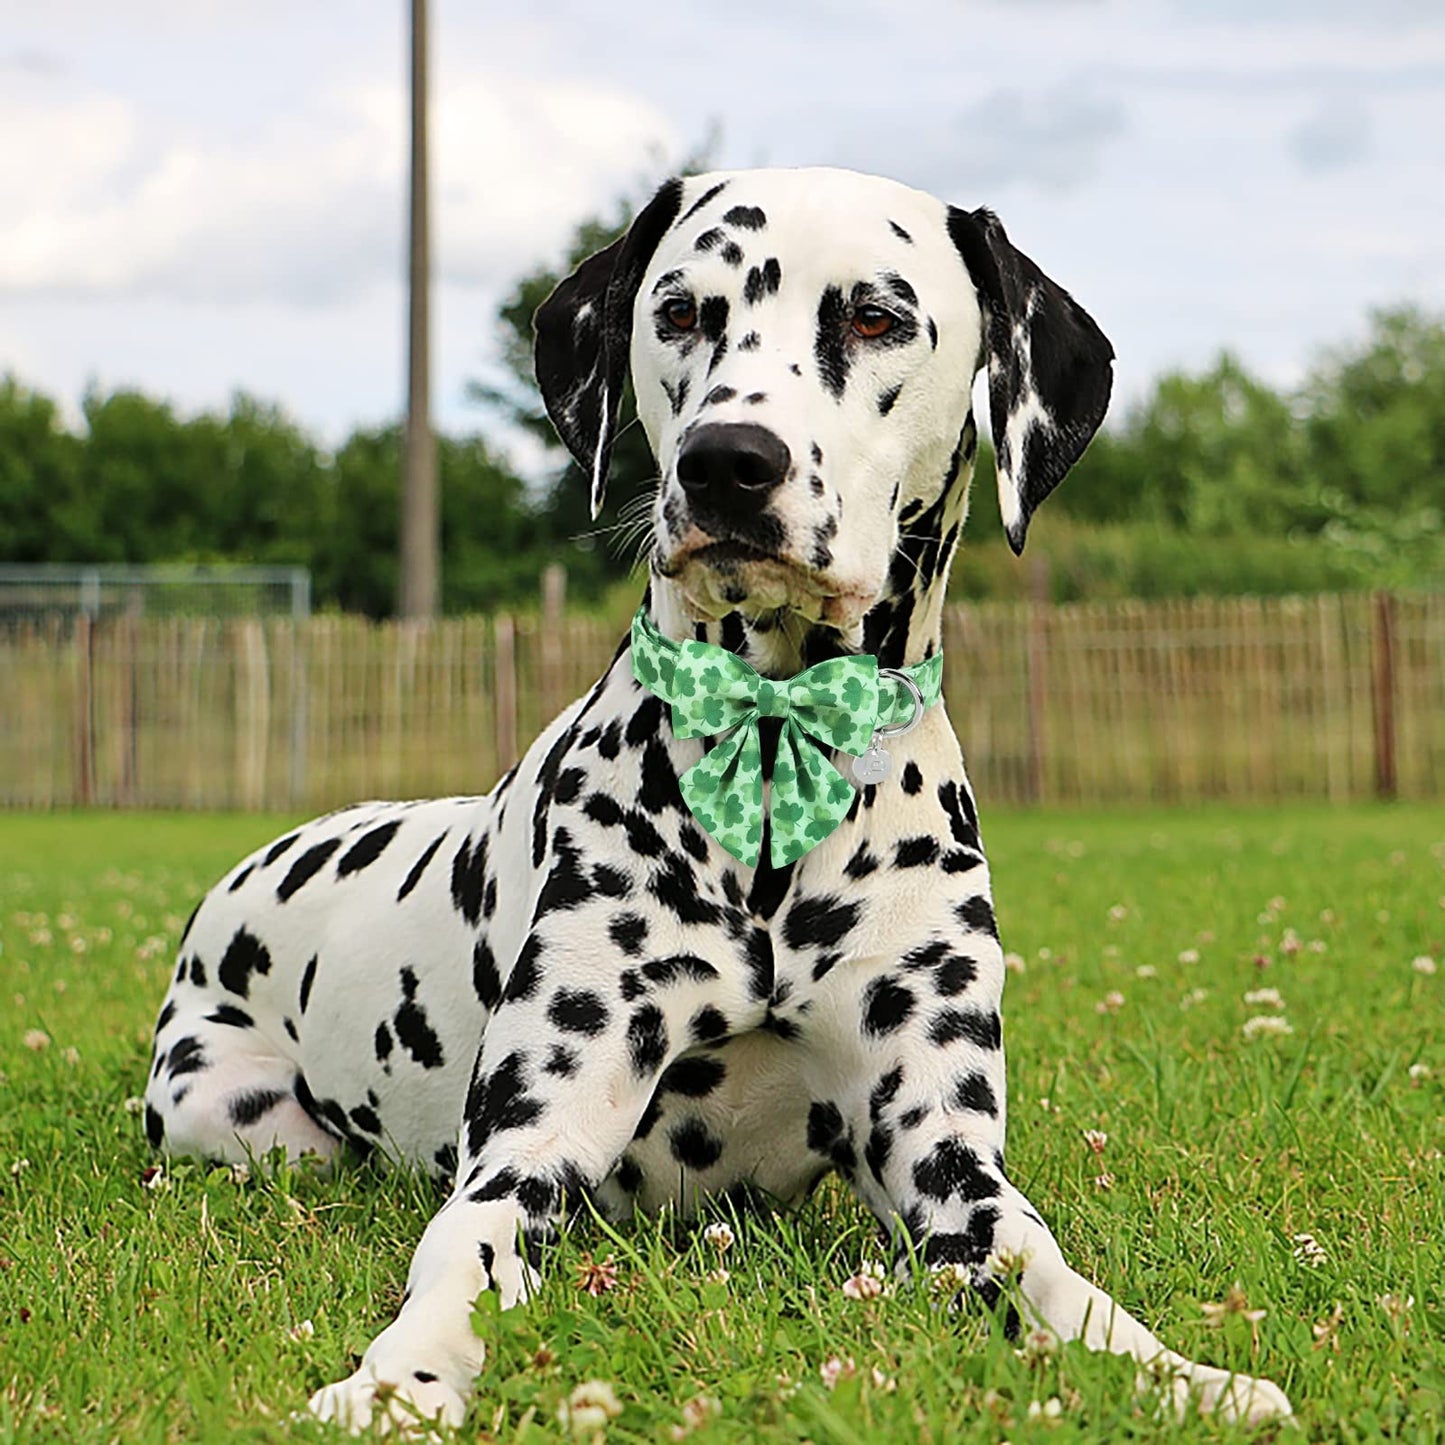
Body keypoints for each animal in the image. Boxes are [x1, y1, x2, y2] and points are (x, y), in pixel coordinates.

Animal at [146, 169, 1294, 1433]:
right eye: (683, 310)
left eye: (876, 317)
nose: (726, 462)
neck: (774, 752)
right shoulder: (527, 1147)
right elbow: (462, 1251)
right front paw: (400, 1378)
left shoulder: (946, 1159)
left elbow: (1043, 1267)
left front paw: (1175, 1373)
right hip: (227, 1112)